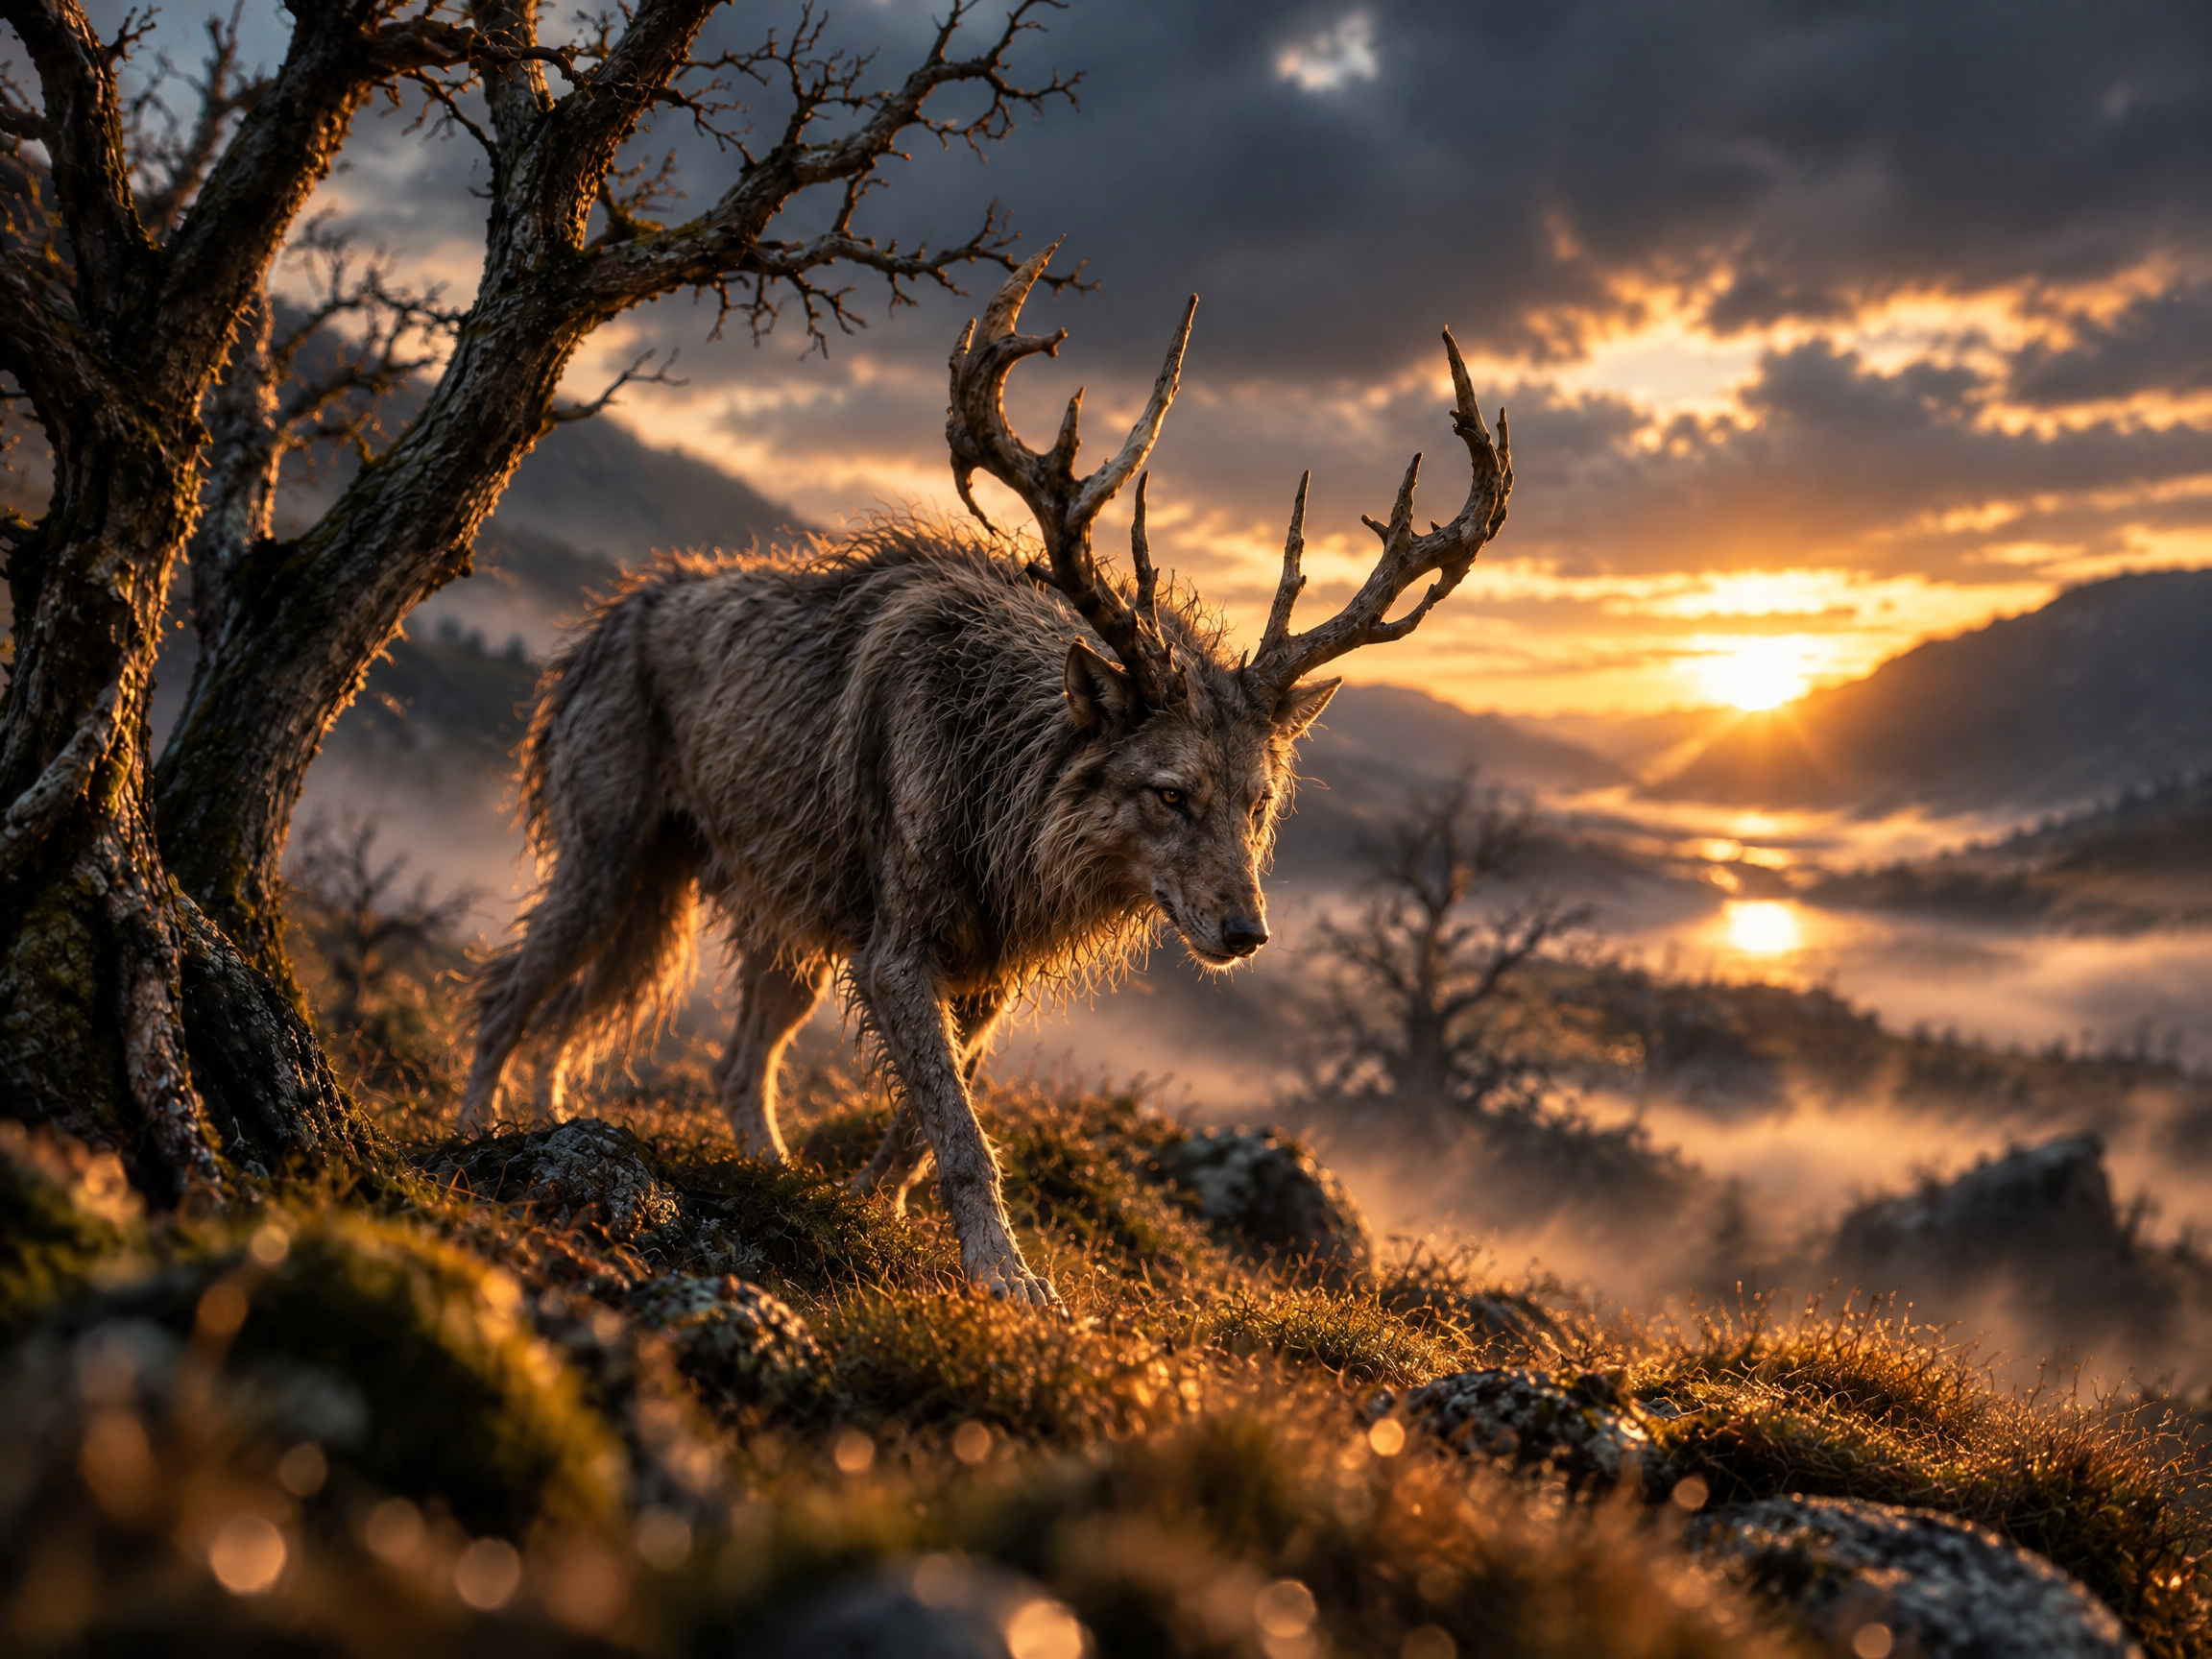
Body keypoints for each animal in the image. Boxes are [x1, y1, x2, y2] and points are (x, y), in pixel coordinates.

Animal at [457, 248, 1513, 1307]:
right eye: (1170, 793)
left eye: (1258, 806)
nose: (1247, 933)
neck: (1000, 789)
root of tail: (603, 620)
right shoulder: (896, 953)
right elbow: (961, 1130)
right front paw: (1007, 1277)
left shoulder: (986, 975)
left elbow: (926, 1121)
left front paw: (868, 1210)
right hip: (607, 868)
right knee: (509, 997)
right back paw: (477, 1134)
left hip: (757, 927)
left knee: (715, 1059)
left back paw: (729, 1163)